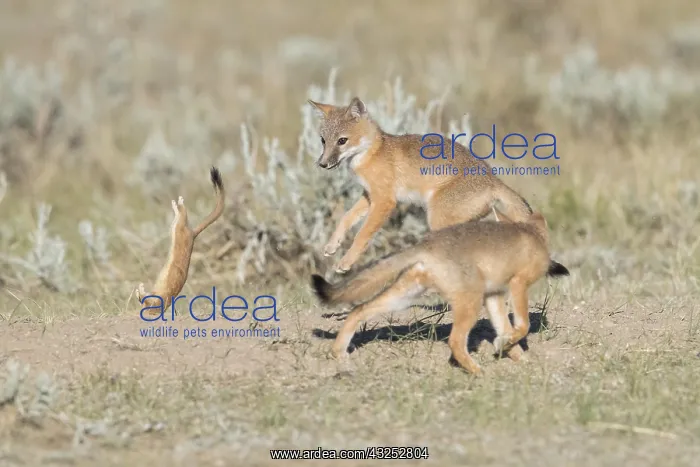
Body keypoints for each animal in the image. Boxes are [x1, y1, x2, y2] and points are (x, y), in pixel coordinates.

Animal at [137, 167, 225, 317]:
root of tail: (193, 233)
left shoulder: (155, 299)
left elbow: (144, 298)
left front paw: (140, 289)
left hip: (181, 226)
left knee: (183, 212)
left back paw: (179, 201)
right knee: (179, 214)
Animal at [308, 97, 544, 275]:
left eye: (342, 141)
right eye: (323, 141)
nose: (322, 164)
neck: (372, 152)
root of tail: (492, 178)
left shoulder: (385, 201)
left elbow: (362, 235)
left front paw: (346, 262)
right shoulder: (369, 196)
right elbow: (345, 218)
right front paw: (332, 245)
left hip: (437, 219)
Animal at [310, 209, 570, 375]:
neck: (532, 235)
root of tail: (427, 244)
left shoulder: (493, 295)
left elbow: (506, 331)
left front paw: (515, 355)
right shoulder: (518, 284)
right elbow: (522, 326)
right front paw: (508, 349)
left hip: (404, 297)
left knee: (358, 309)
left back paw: (338, 352)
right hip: (470, 302)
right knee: (455, 341)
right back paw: (476, 371)